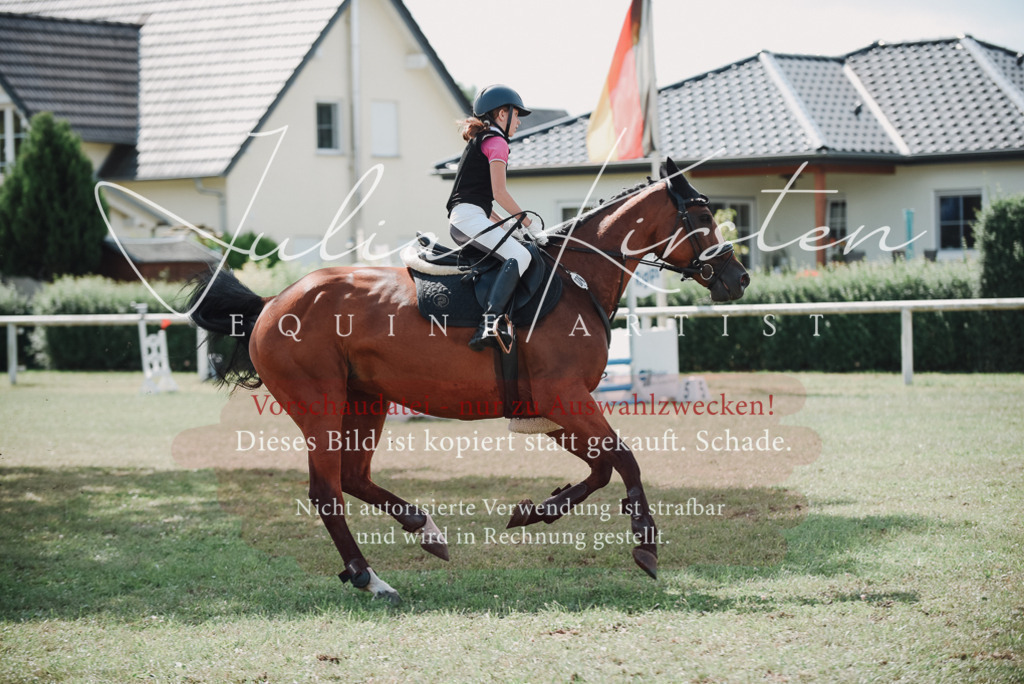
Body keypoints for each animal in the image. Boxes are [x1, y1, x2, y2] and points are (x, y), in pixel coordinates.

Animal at [187, 158, 749, 603]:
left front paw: (535, 512)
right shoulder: (565, 397)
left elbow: (602, 468)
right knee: (328, 490)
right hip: (320, 406)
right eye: (703, 218)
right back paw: (371, 578)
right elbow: (625, 461)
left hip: (365, 402)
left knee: (352, 478)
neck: (576, 278)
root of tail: (270, 304)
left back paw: (425, 531)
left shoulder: (554, 406)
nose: (738, 279)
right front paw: (645, 547)